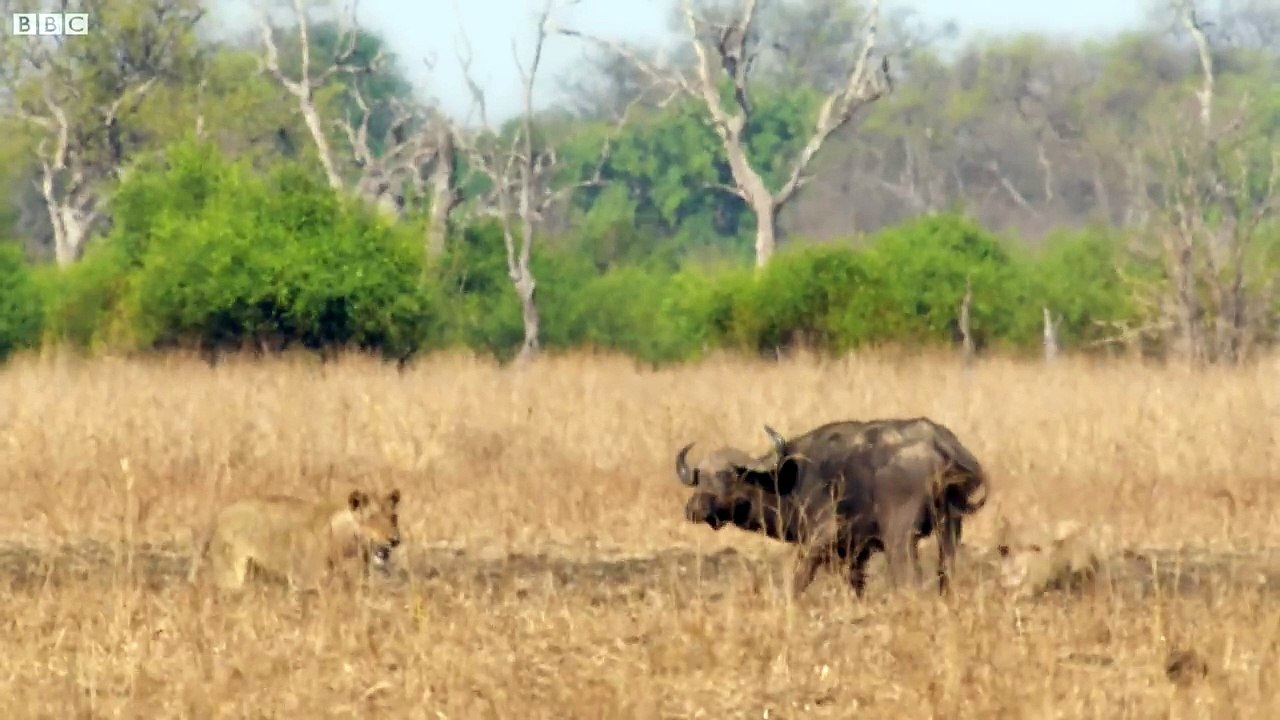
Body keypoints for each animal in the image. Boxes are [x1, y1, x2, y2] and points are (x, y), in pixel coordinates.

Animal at [188, 487, 403, 591]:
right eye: (372, 518)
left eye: (393, 517)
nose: (395, 540)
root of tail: (219, 515)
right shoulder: (307, 581)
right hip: (231, 573)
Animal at [676, 417, 989, 598]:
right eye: (699, 477)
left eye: (728, 475)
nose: (694, 509)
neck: (784, 478)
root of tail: (940, 443)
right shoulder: (854, 552)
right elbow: (855, 585)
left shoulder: (820, 537)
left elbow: (799, 579)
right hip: (950, 527)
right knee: (946, 571)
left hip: (899, 536)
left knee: (908, 578)